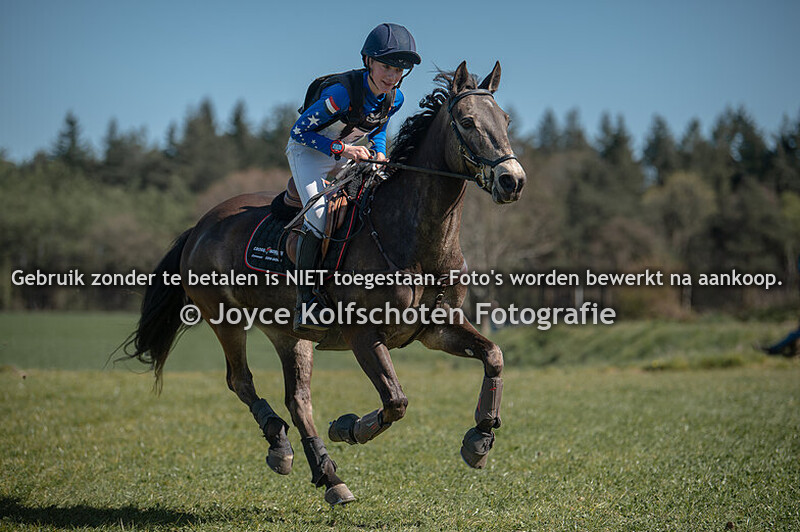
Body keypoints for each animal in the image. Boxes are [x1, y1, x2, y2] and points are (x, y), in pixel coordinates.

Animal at [125, 61, 527, 506]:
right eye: (468, 122)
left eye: (506, 120)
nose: (512, 180)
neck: (418, 241)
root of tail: (200, 226)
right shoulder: (364, 336)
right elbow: (396, 401)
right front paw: (349, 427)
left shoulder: (435, 329)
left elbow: (493, 356)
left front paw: (479, 439)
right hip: (225, 318)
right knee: (241, 381)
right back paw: (281, 443)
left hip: (288, 333)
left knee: (298, 400)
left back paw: (326, 473)